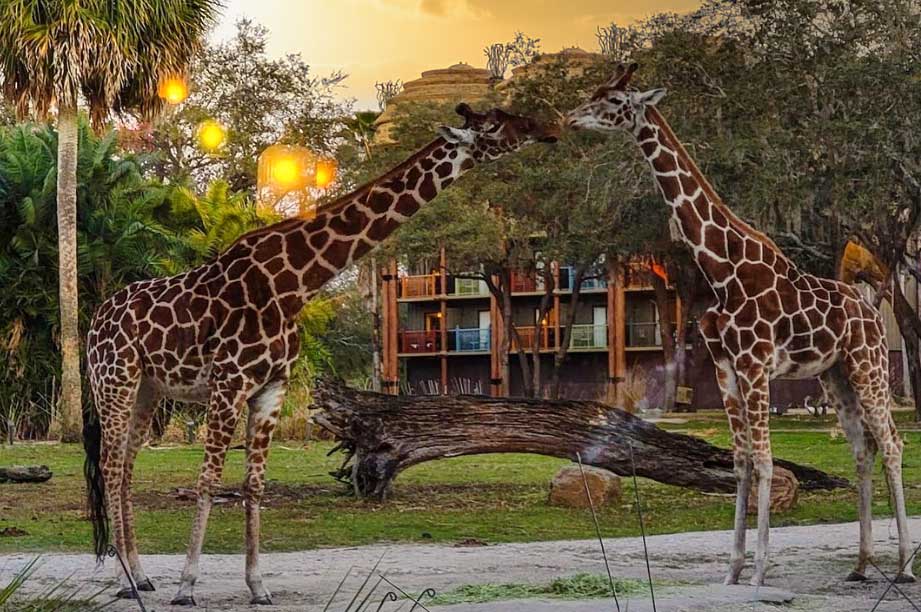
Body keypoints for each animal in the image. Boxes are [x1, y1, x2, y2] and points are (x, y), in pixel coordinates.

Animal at [83, 103, 558, 606]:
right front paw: (187, 585)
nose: (547, 129)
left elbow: (254, 485)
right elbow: (208, 480)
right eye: (497, 124)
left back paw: (140, 575)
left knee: (126, 468)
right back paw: (127, 581)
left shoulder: (271, 387)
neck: (294, 284)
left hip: (147, 390)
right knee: (111, 468)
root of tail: (94, 322)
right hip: (114, 381)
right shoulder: (229, 383)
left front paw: (258, 586)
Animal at [566, 63, 914, 586]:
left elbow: (766, 460)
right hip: (834, 376)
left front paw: (760, 571)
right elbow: (742, 462)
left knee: (891, 443)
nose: (570, 117)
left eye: (613, 100)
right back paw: (861, 563)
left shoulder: (755, 365)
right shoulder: (727, 368)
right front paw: (731, 570)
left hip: (867, 364)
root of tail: (873, 312)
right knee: (863, 448)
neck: (721, 267)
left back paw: (904, 564)